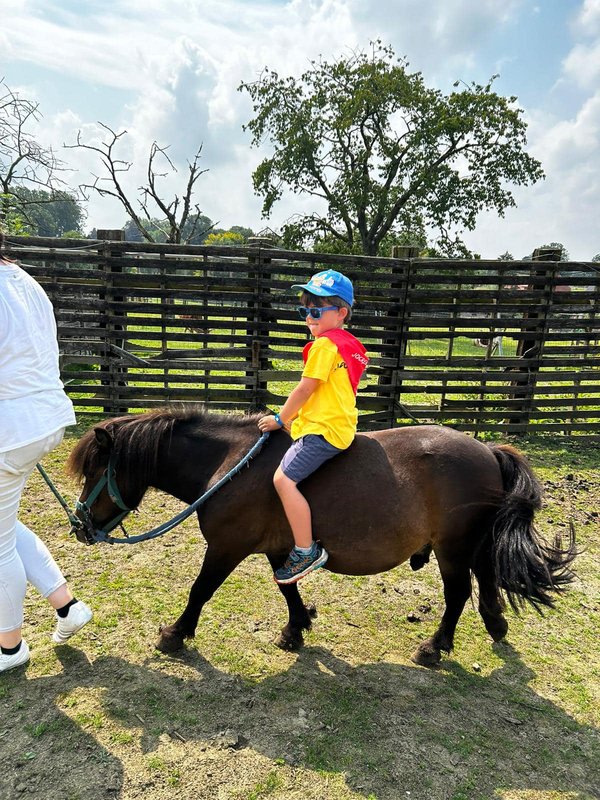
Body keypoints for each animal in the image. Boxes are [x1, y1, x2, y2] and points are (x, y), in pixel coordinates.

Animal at [67, 406, 576, 664]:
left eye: (94, 469)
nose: (79, 526)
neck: (233, 463)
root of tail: (488, 450)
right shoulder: (280, 547)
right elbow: (287, 587)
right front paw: (296, 628)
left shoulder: (226, 548)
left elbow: (200, 590)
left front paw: (175, 633)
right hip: (473, 544)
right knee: (487, 581)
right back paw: (495, 625)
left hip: (452, 550)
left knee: (458, 595)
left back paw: (434, 647)